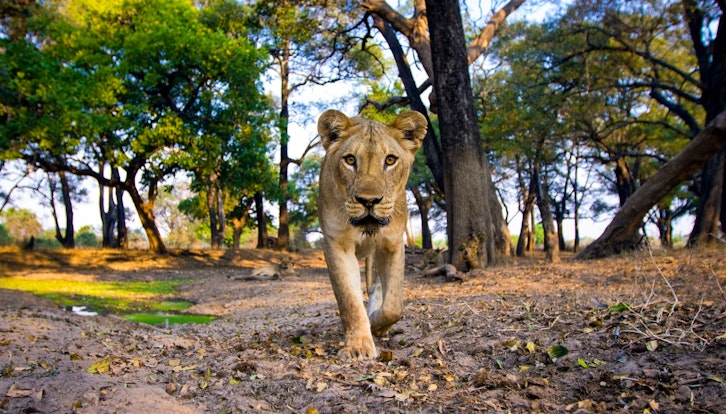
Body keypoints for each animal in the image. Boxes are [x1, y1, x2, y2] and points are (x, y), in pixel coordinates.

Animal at [317, 109, 427, 360]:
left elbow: (394, 305)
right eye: (350, 160)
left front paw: (377, 324)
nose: (368, 201)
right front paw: (358, 346)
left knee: (376, 286)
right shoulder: (337, 243)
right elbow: (349, 300)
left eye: (390, 160)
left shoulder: (392, 244)